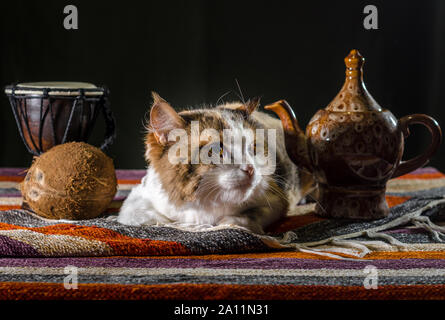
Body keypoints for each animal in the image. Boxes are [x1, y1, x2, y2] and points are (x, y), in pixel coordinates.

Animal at [117, 91, 308, 234]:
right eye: (217, 151)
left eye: (253, 148)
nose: (251, 169)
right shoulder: (137, 199)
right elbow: (148, 217)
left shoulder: (277, 198)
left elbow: (246, 217)